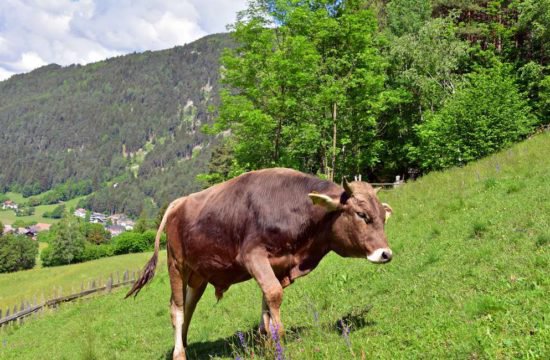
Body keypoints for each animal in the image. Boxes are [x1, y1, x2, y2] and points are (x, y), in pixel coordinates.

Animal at [127, 167, 394, 358]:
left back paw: (183, 343)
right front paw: (278, 339)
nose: (386, 254)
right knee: (177, 308)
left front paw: (266, 340)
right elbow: (274, 294)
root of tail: (177, 202)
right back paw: (179, 353)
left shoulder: (277, 264)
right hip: (176, 265)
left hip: (199, 274)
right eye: (362, 215)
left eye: (383, 216)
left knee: (189, 306)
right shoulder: (252, 256)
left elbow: (268, 298)